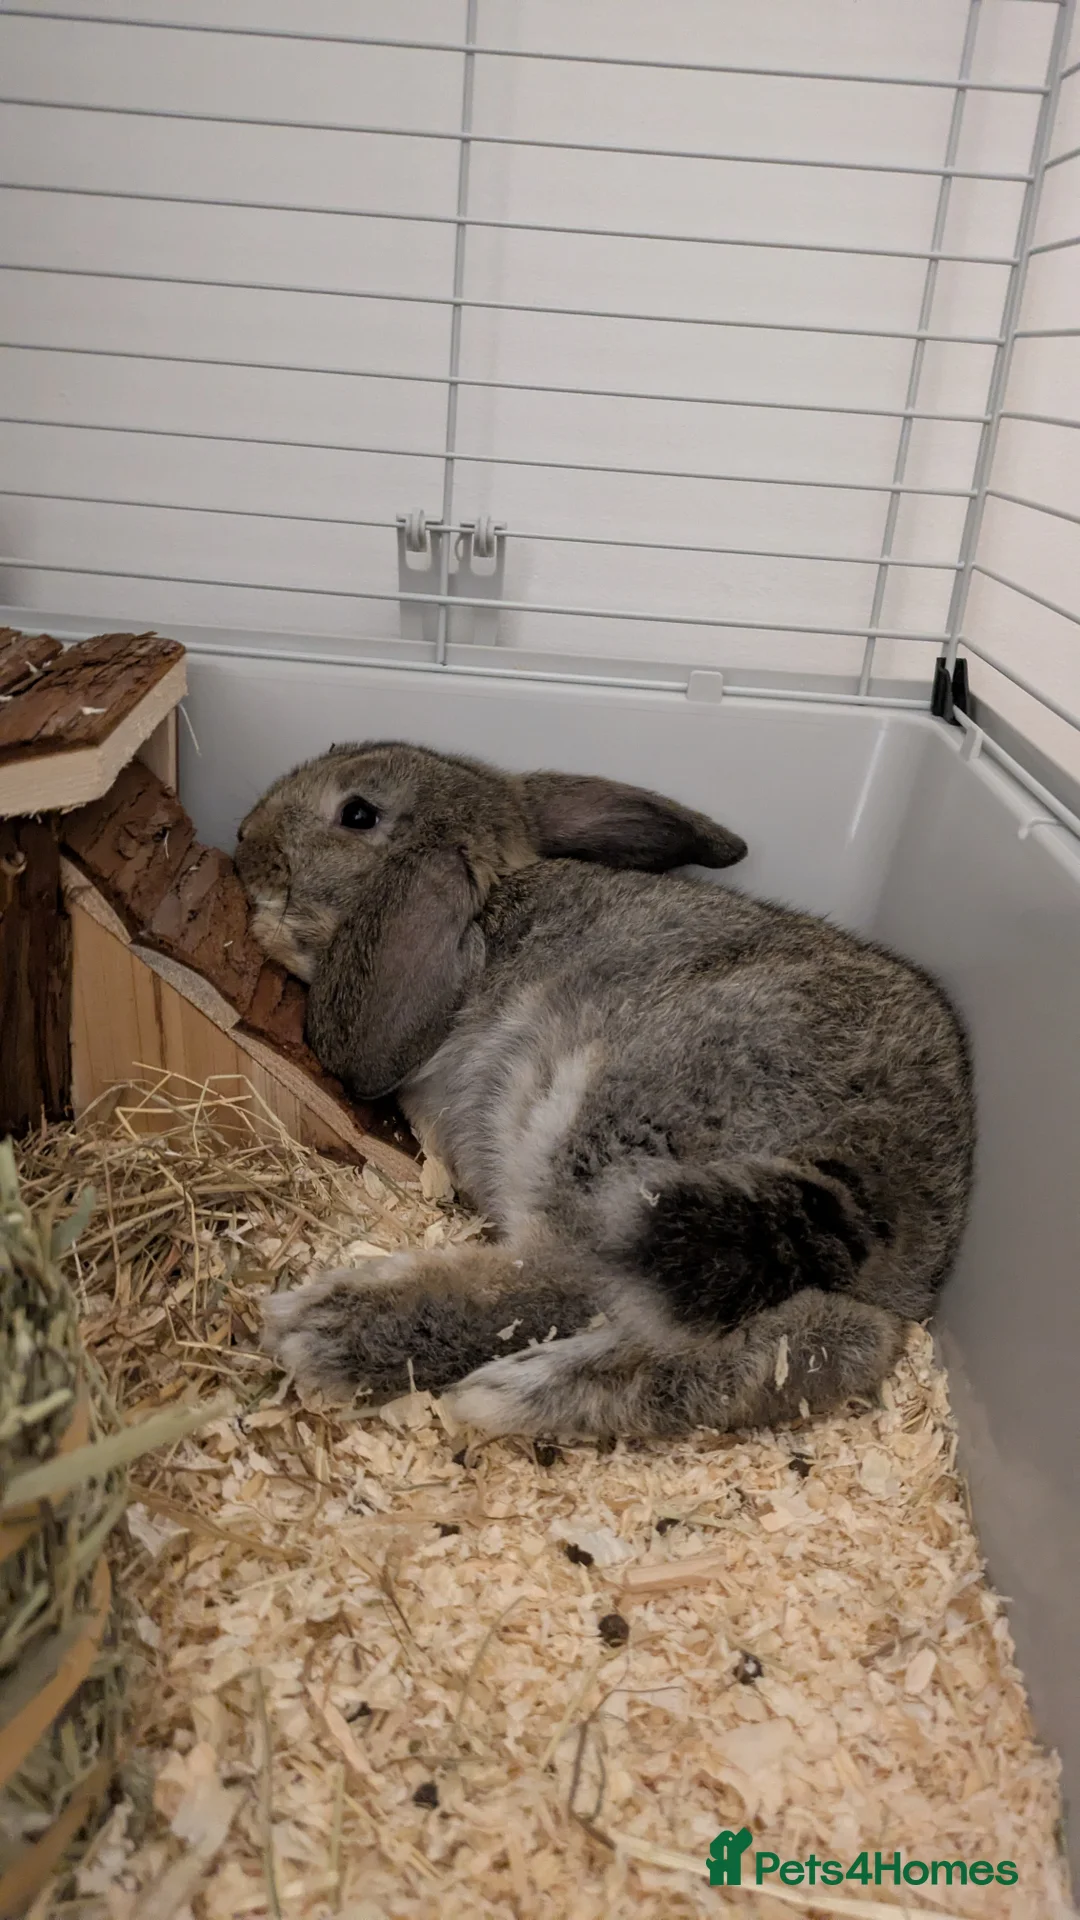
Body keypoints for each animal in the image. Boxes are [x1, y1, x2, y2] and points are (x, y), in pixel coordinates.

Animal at [235, 741, 974, 1441]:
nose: (245, 840)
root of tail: (880, 1184)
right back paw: (526, 1393)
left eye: (357, 813)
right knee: (825, 1346)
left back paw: (329, 1329)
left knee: (564, 1280)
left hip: (612, 1136)